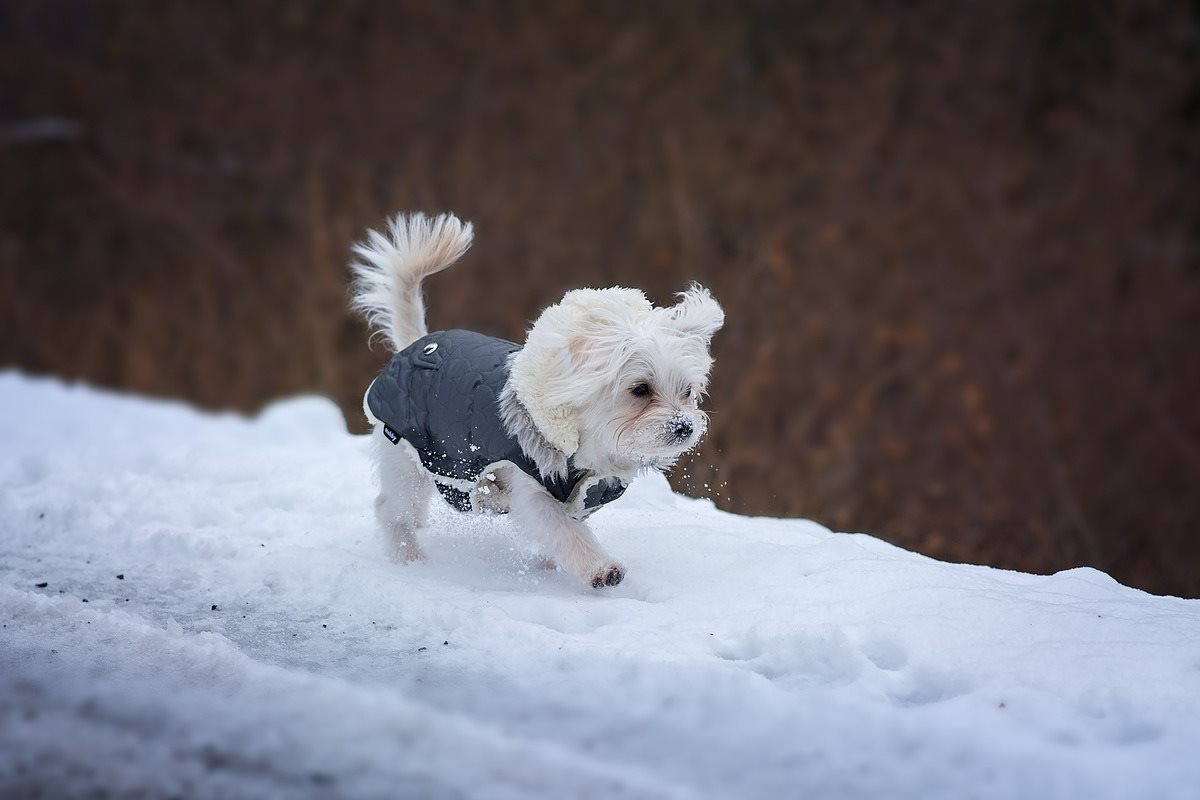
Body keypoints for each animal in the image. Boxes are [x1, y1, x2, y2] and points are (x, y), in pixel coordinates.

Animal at [348, 212, 720, 587]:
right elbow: (564, 531)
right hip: (406, 457)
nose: (685, 427)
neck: (587, 446)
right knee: (391, 508)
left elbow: (562, 535)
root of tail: (416, 344)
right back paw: (408, 556)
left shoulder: (581, 496)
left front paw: (552, 564)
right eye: (641, 389)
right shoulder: (533, 488)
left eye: (688, 392)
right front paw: (600, 568)